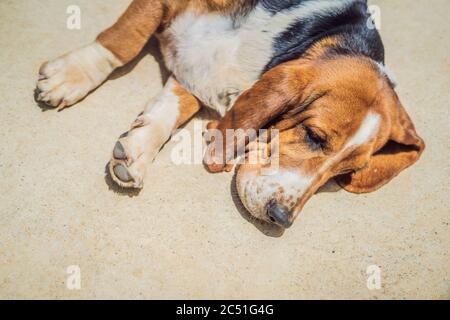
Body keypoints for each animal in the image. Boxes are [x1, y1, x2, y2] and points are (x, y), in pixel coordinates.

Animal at [36, 0, 426, 230]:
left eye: (345, 174)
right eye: (314, 136)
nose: (281, 219)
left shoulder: (195, 75)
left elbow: (171, 109)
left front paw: (137, 150)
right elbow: (124, 42)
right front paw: (73, 74)